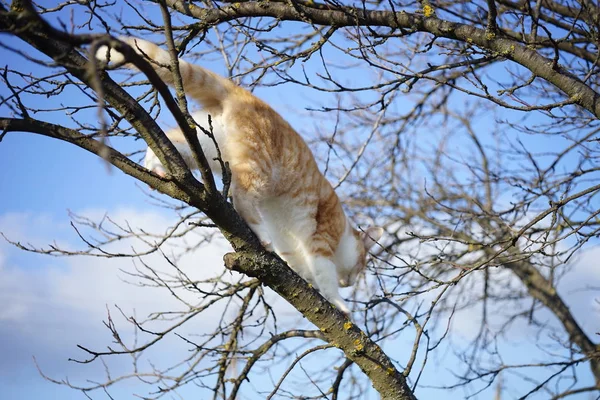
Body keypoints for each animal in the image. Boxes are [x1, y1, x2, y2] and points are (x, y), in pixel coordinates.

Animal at [96, 37, 382, 314]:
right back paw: (260, 235)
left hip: (206, 140)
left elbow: (299, 263)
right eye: (361, 266)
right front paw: (339, 303)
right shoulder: (321, 238)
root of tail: (243, 94)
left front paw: (305, 278)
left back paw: (156, 166)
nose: (351, 282)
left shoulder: (289, 238)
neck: (342, 229)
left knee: (169, 142)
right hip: (259, 167)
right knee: (242, 198)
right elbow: (324, 275)